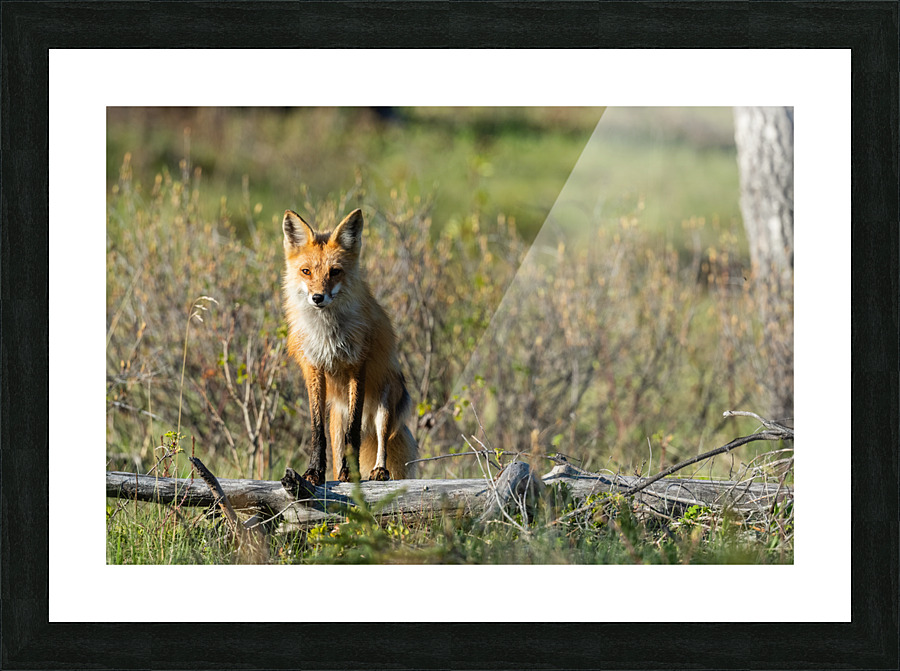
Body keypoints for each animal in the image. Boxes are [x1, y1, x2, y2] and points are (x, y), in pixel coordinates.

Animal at [282, 207, 418, 486]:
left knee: (380, 439)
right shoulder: (313, 368)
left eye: (335, 271)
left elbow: (353, 433)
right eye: (306, 271)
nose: (318, 297)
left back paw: (379, 470)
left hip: (385, 406)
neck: (328, 335)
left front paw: (351, 473)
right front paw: (314, 472)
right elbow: (316, 431)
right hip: (336, 420)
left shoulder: (357, 365)